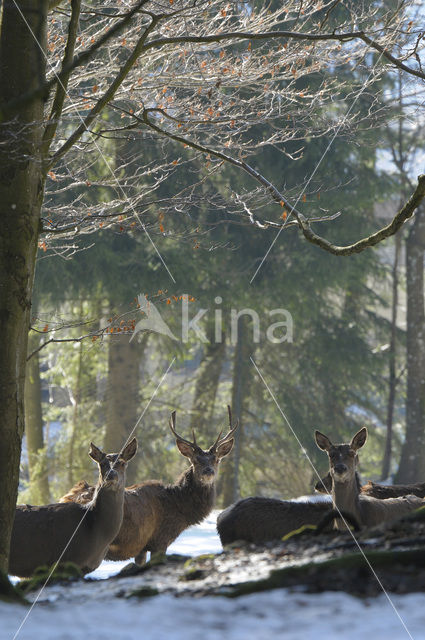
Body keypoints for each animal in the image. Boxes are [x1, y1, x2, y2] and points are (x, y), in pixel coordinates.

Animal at [59, 408, 237, 564]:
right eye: (195, 460)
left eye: (216, 460)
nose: (208, 471)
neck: (178, 506)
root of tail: (66, 498)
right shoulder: (160, 540)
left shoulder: (141, 548)